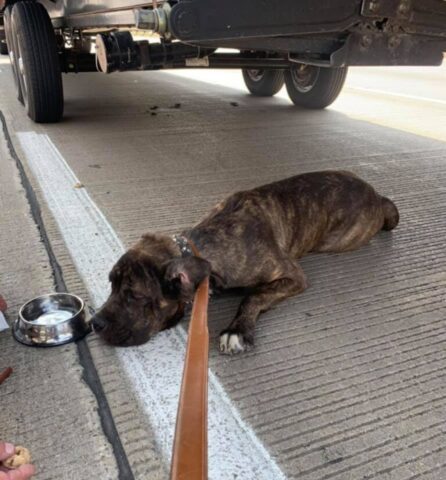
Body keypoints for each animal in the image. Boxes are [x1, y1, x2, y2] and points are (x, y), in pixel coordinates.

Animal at [89, 171, 398, 354]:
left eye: (135, 295)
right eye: (111, 285)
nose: (95, 323)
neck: (204, 246)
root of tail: (378, 196)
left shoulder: (292, 275)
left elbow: (254, 296)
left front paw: (237, 330)